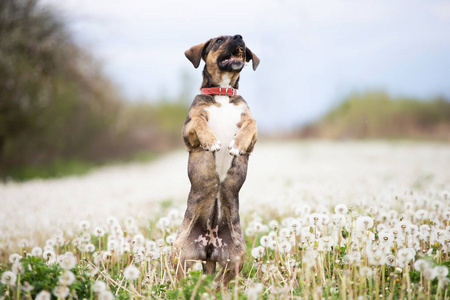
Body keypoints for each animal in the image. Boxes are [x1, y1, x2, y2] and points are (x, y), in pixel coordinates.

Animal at [173, 35, 260, 286]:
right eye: (220, 39)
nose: (239, 36)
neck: (222, 92)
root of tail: (210, 248)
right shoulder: (189, 132)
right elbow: (200, 121)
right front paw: (211, 141)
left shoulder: (252, 134)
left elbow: (252, 123)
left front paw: (237, 144)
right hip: (179, 252)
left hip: (238, 256)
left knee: (222, 280)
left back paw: (214, 288)